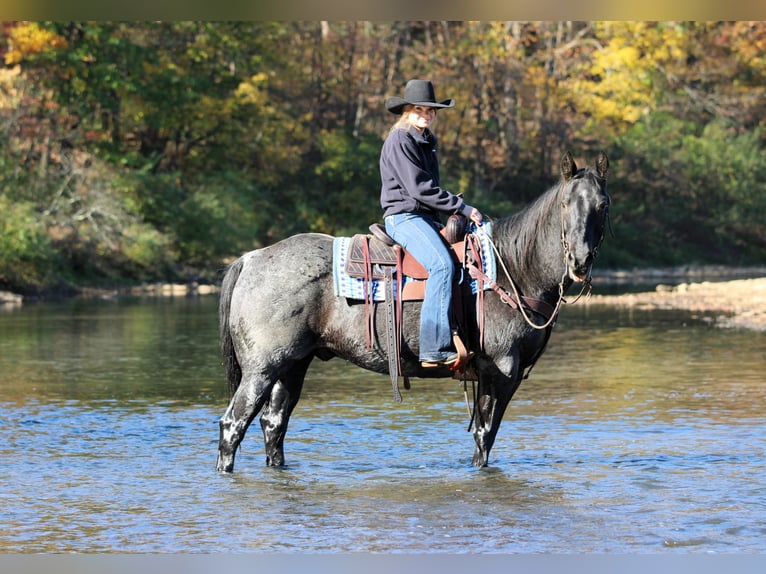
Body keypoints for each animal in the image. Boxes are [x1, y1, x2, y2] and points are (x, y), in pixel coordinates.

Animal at [216, 150, 610, 472]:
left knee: (274, 425)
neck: (512, 268)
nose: (580, 261)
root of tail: (252, 258)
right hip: (262, 369)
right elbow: (484, 437)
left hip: (293, 366)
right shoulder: (499, 370)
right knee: (233, 425)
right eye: (565, 203)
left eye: (603, 205)